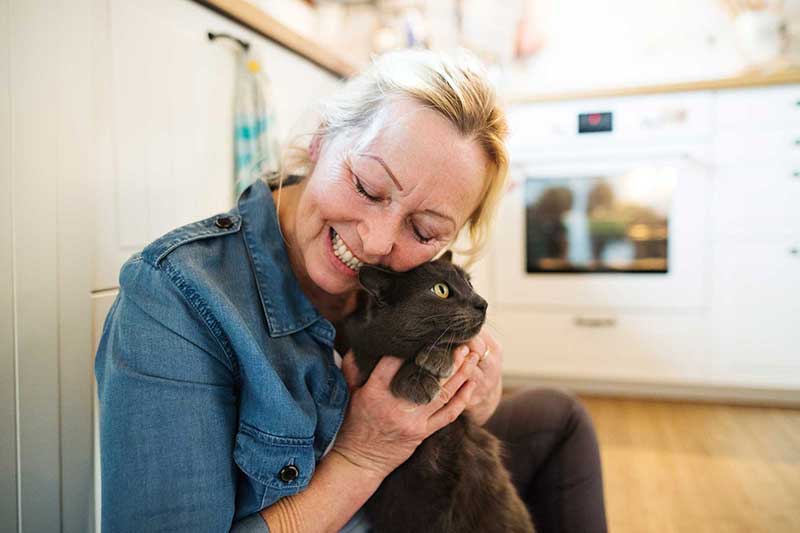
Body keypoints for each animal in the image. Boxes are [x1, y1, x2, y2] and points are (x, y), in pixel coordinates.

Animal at [334, 252, 536, 532]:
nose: (482, 303)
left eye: (469, 283)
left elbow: (460, 339)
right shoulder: (360, 345)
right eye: (441, 290)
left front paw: (436, 358)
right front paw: (416, 380)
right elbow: (377, 355)